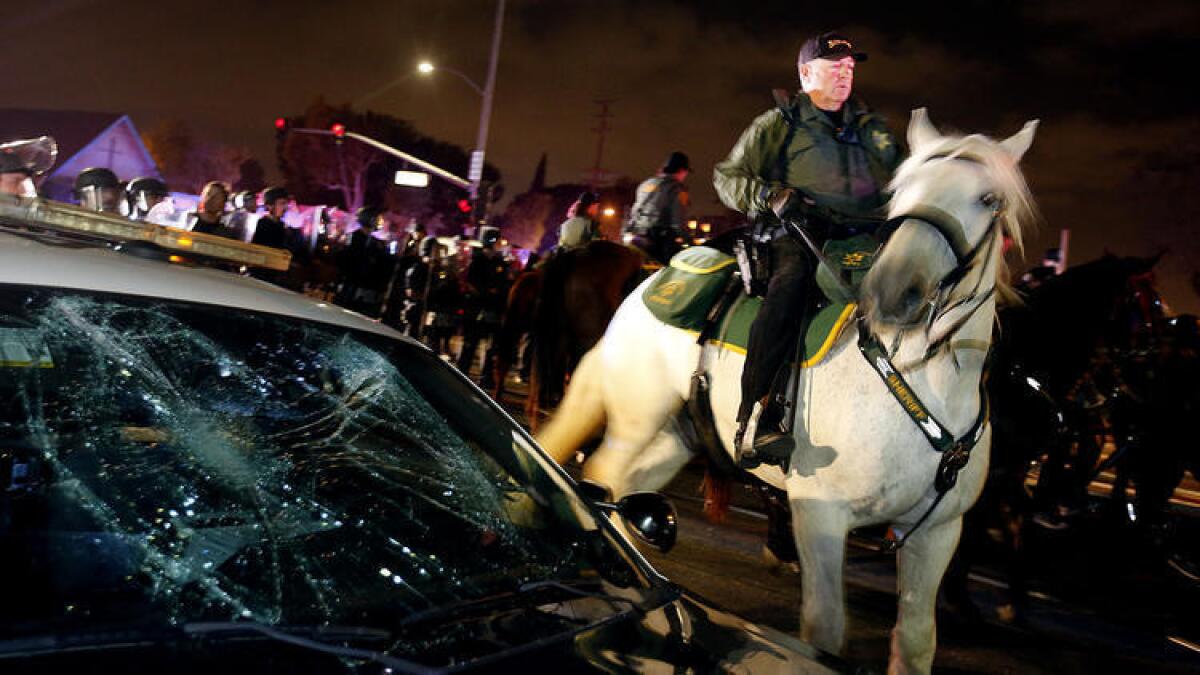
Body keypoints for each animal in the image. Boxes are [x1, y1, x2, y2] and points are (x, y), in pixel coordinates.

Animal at [540, 107, 1036, 667]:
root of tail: (650, 281)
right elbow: (824, 629)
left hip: (677, 434)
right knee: (603, 476)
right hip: (637, 417)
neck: (917, 381)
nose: (891, 290)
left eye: (988, 199)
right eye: (903, 189)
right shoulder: (820, 516)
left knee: (629, 490)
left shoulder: (936, 532)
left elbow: (915, 640)